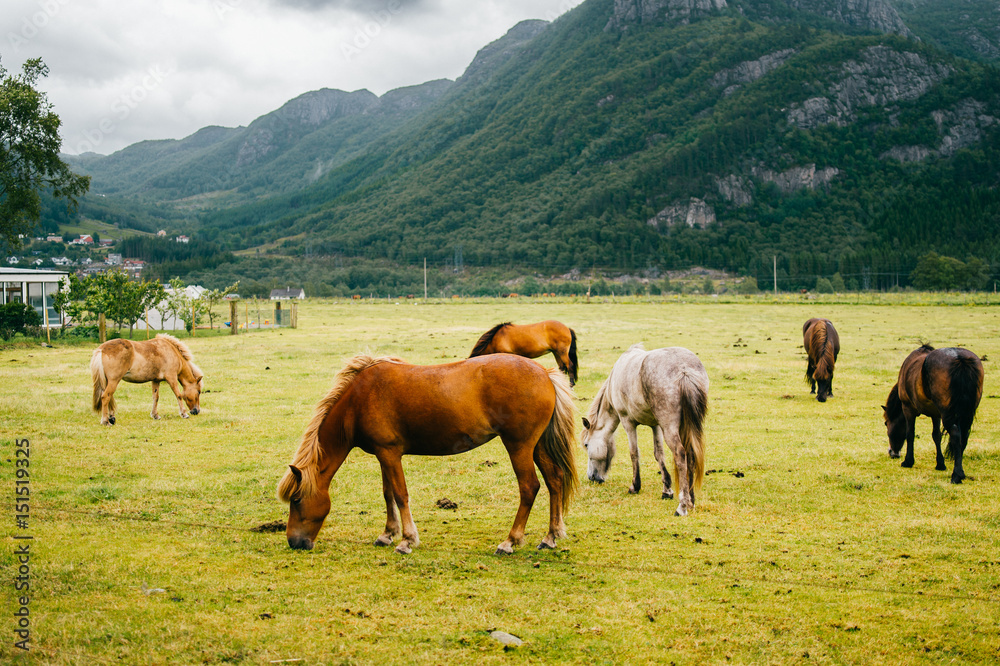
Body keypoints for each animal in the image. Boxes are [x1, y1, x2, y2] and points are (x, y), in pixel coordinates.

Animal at [280, 352, 580, 556]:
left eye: (296, 500)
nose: (294, 542)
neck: (358, 399)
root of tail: (544, 373)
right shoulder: (383, 455)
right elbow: (388, 494)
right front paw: (387, 534)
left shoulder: (390, 453)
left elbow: (400, 495)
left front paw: (406, 540)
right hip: (537, 446)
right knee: (554, 481)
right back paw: (550, 537)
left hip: (519, 447)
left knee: (529, 487)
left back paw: (510, 541)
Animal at [580, 344, 712, 516]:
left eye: (586, 445)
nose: (592, 477)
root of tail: (684, 369)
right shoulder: (656, 425)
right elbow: (659, 454)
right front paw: (667, 490)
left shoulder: (628, 422)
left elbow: (634, 453)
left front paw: (635, 486)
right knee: (690, 454)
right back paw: (691, 501)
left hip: (670, 428)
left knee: (680, 454)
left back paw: (682, 506)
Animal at [884, 342, 984, 482]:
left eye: (886, 424)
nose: (892, 452)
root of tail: (959, 358)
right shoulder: (935, 414)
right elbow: (936, 436)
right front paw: (940, 464)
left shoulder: (908, 408)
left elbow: (910, 434)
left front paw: (908, 461)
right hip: (966, 414)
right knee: (964, 436)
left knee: (956, 435)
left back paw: (957, 475)